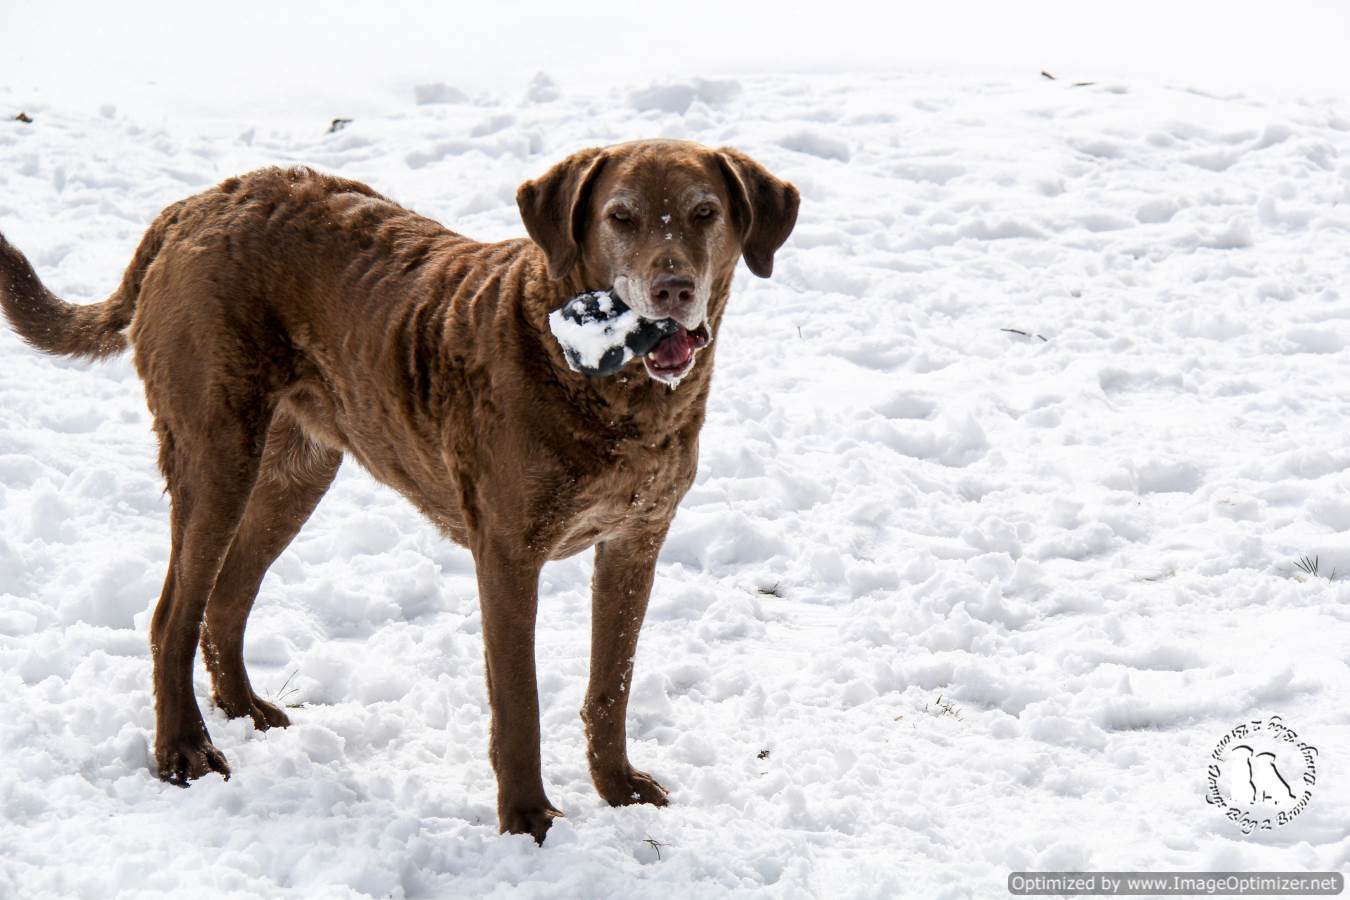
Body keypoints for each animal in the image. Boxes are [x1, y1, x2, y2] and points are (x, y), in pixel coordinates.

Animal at [0, 141, 793, 847]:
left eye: (704, 212)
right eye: (620, 217)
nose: (672, 290)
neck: (616, 395)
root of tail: (192, 205)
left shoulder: (636, 540)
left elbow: (612, 684)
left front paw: (619, 789)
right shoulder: (508, 554)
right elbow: (520, 701)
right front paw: (528, 820)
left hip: (297, 469)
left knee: (224, 602)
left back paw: (245, 710)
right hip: (216, 453)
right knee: (172, 614)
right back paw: (183, 753)